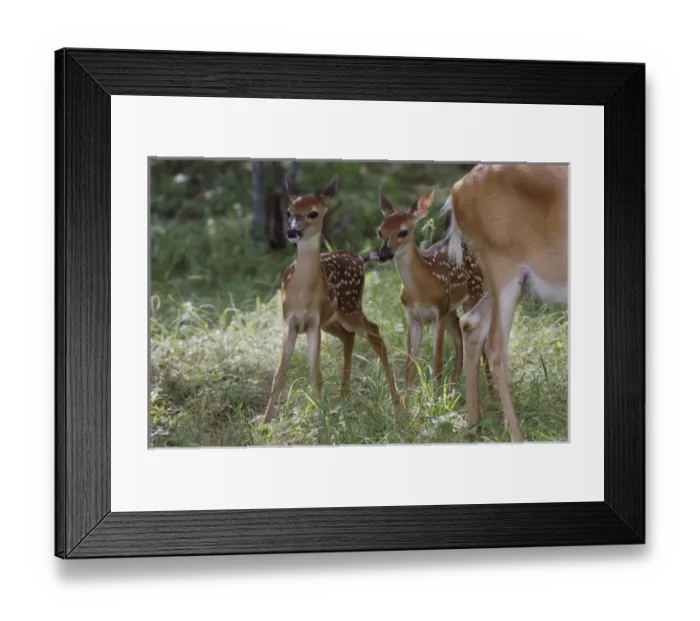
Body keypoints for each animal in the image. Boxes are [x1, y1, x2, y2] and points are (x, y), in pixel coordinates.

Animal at [262, 174, 403, 425]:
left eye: (313, 213)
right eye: (289, 211)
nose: (292, 232)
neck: (302, 292)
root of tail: (358, 257)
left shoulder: (313, 322)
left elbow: (315, 374)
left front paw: (322, 422)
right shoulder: (291, 321)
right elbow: (279, 373)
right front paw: (264, 423)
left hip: (350, 307)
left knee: (374, 331)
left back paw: (397, 405)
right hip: (333, 320)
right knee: (349, 337)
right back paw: (343, 396)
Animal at [375, 187, 492, 405]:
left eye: (403, 232)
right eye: (380, 230)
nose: (383, 254)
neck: (421, 289)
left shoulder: (438, 312)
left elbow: (436, 363)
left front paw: (436, 403)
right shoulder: (413, 317)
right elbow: (409, 365)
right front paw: (408, 404)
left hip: (473, 293)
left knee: (482, 341)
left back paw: (491, 392)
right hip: (451, 310)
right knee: (459, 340)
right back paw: (453, 390)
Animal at [441, 163, 568, 443]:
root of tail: (456, 191)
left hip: (518, 281)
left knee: (471, 323)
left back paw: (474, 427)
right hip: (502, 265)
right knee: (495, 345)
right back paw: (516, 435)